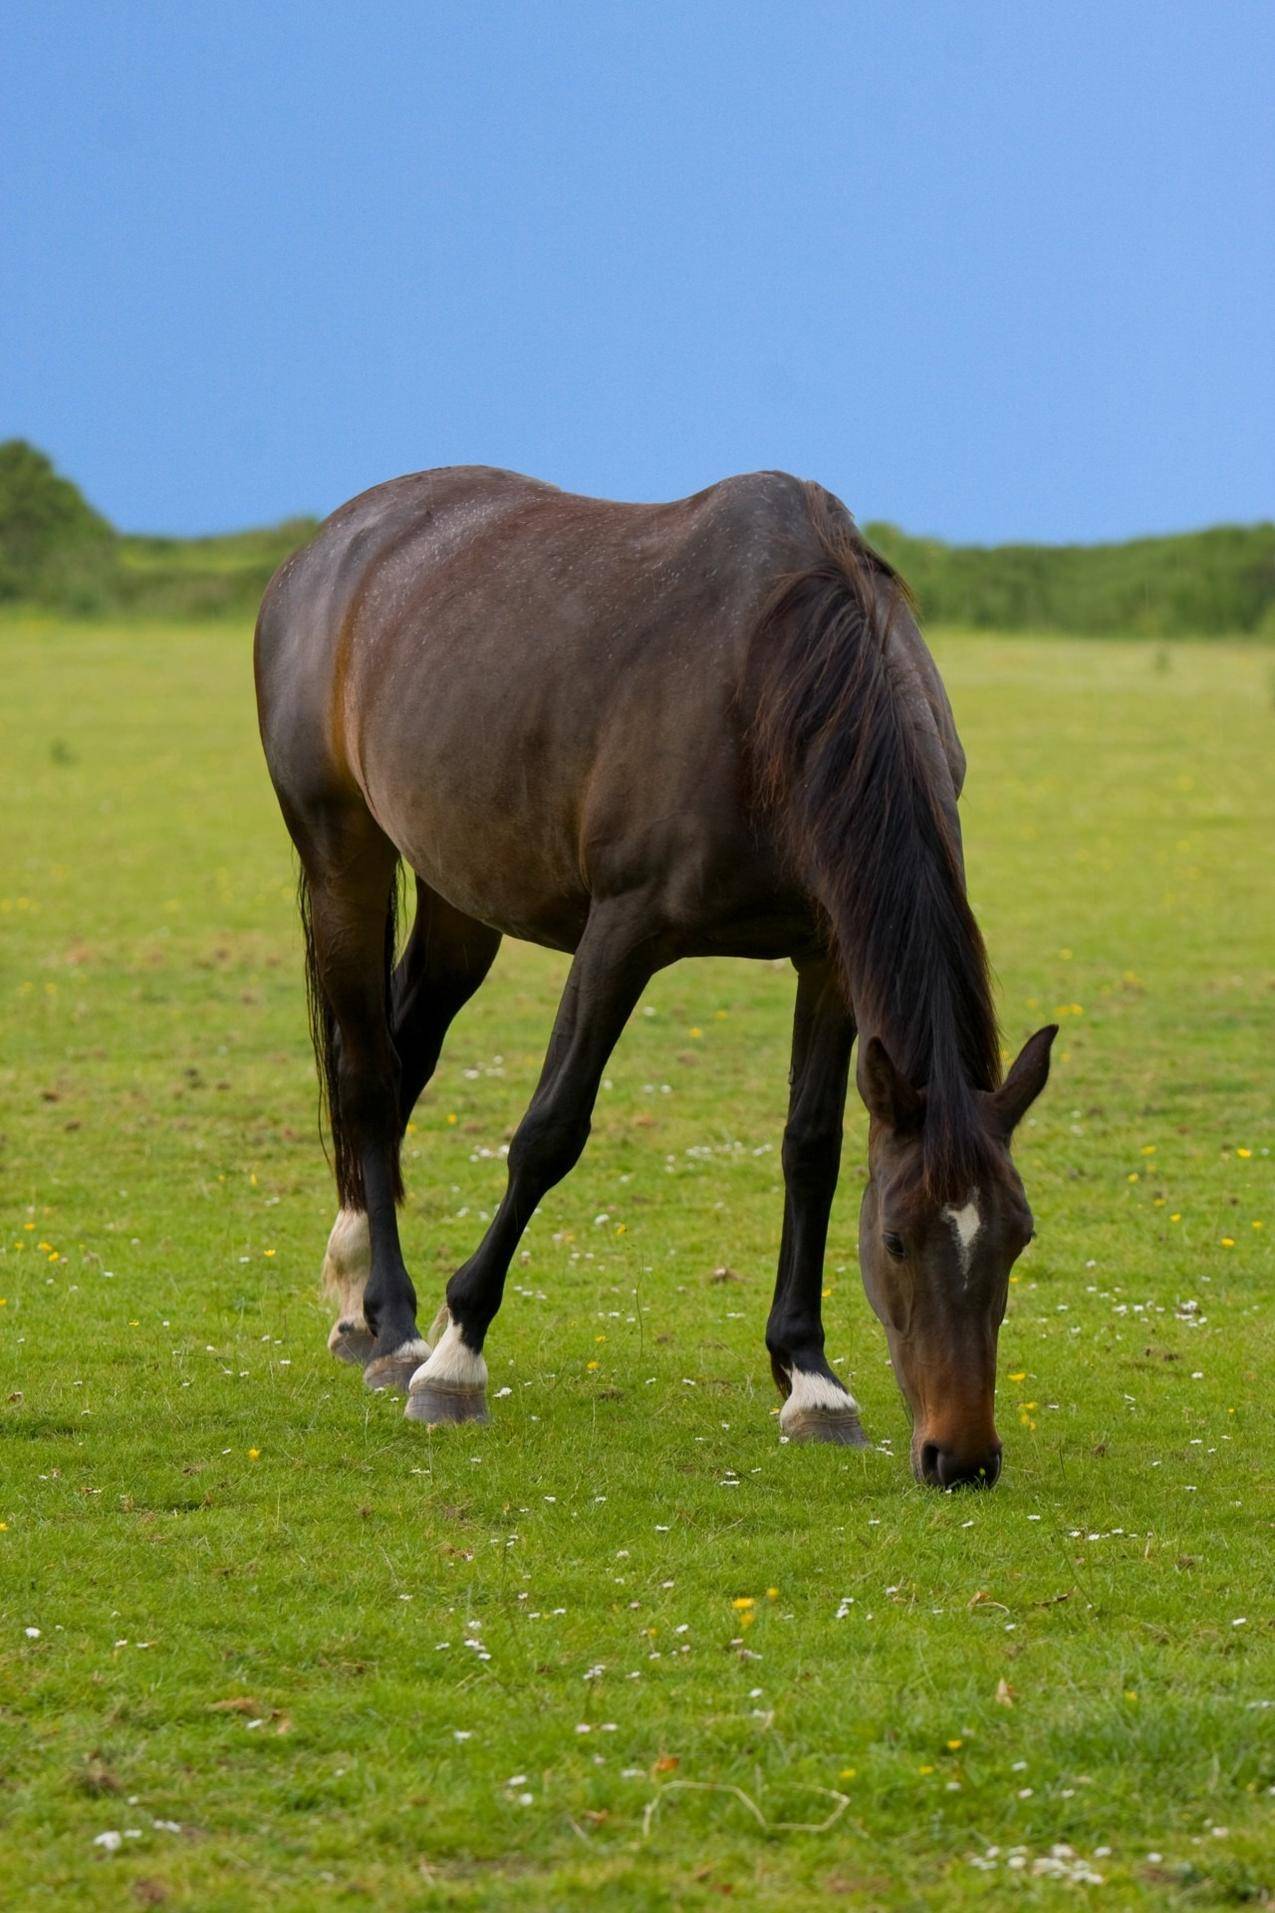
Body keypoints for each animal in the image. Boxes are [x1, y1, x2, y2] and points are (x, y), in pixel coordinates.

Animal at [252, 470, 1049, 1484]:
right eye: (897, 1238)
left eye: (1017, 1236)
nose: (962, 1456)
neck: (774, 680)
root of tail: (331, 544)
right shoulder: (620, 934)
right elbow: (549, 1132)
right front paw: (458, 1359)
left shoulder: (829, 954)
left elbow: (811, 1149)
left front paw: (810, 1378)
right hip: (339, 853)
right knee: (365, 1072)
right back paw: (394, 1329)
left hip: (460, 894)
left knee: (403, 1057)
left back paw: (362, 1303)